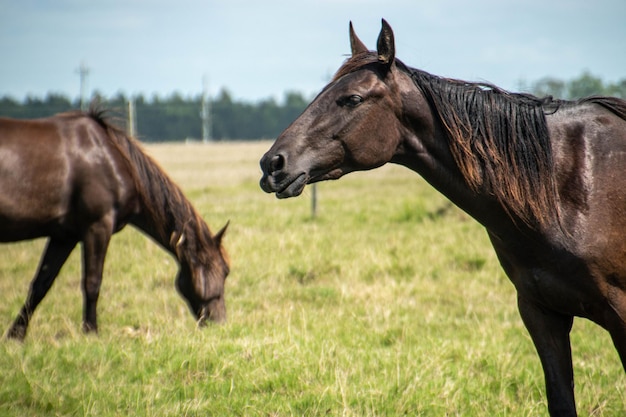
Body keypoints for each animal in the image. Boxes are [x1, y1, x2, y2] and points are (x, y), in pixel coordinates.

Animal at [0, 106, 229, 338]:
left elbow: (41, 284)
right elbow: (92, 282)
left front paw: (16, 335)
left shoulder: (64, 236)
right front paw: (91, 331)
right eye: (225, 271)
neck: (112, 161)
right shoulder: (97, 226)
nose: (219, 323)